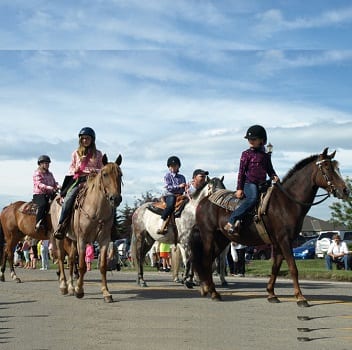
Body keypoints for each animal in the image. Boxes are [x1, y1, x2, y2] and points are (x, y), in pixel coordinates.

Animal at [50, 154, 123, 302]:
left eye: (121, 175)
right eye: (105, 174)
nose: (115, 198)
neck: (96, 209)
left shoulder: (104, 240)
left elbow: (102, 266)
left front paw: (106, 292)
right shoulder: (82, 239)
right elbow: (82, 266)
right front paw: (80, 290)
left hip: (72, 240)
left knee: (71, 260)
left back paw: (71, 287)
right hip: (60, 238)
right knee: (61, 258)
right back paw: (64, 286)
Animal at [190, 148, 350, 306]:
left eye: (337, 167)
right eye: (327, 167)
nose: (345, 190)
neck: (287, 202)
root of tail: (203, 202)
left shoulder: (279, 242)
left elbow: (275, 268)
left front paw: (271, 294)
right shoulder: (284, 240)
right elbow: (293, 268)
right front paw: (300, 298)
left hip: (221, 239)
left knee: (208, 262)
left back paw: (208, 289)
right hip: (209, 236)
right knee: (206, 261)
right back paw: (213, 293)